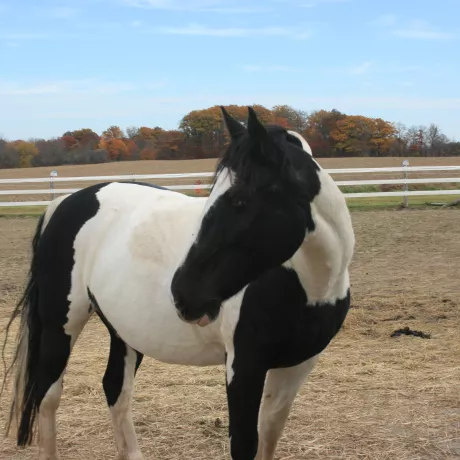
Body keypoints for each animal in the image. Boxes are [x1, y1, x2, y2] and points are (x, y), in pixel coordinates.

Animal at [0, 105, 356, 460]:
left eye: (239, 200)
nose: (183, 294)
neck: (311, 287)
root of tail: (62, 203)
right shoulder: (243, 367)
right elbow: (244, 443)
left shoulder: (298, 365)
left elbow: (269, 434)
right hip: (60, 325)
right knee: (47, 395)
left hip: (123, 330)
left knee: (115, 389)